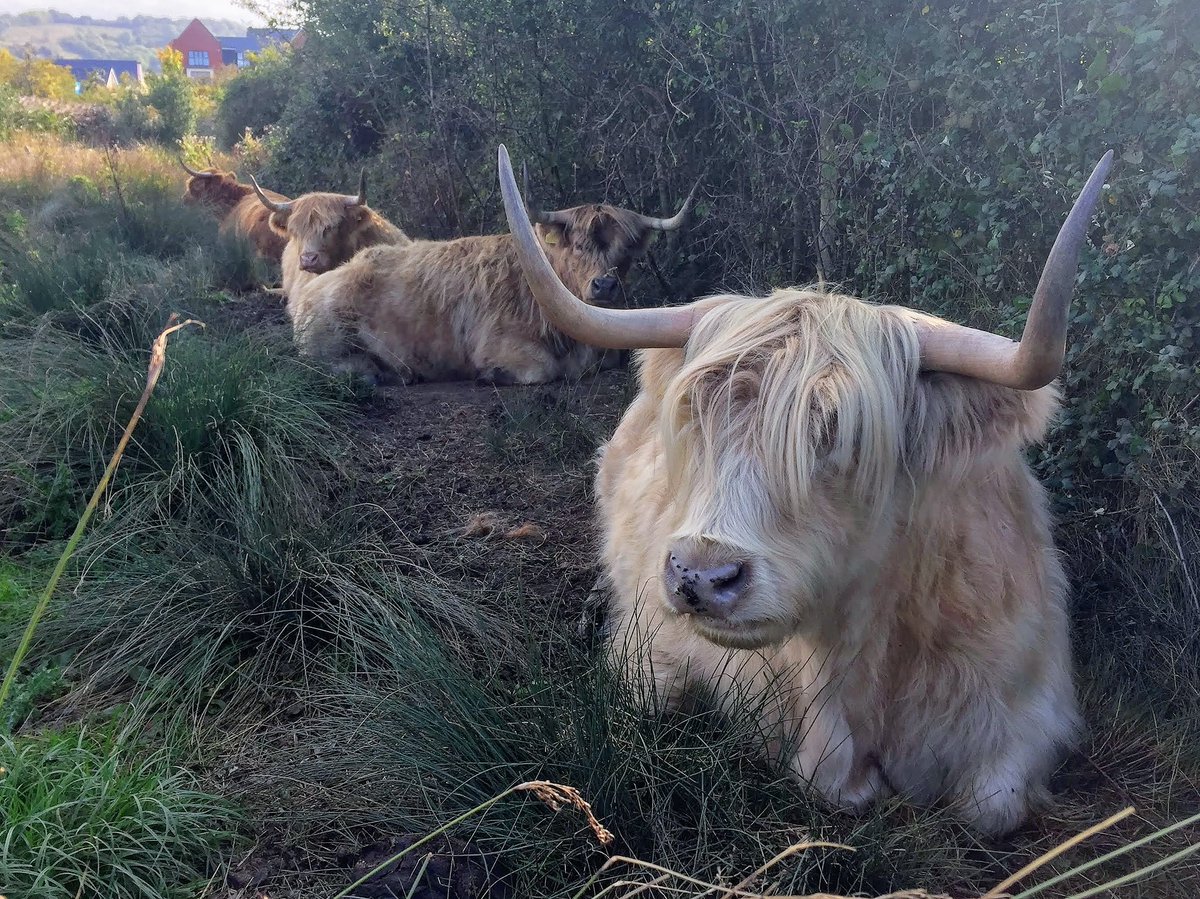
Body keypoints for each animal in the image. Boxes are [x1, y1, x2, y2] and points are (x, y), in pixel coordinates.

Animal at [285, 169, 699, 385]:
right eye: (578, 245)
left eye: (625, 252)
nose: (605, 285)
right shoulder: (502, 344)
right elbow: (542, 370)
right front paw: (493, 375)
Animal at [497, 143, 1113, 835]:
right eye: (696, 413)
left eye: (841, 433)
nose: (701, 576)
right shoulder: (660, 655)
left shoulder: (1036, 710)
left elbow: (990, 806)